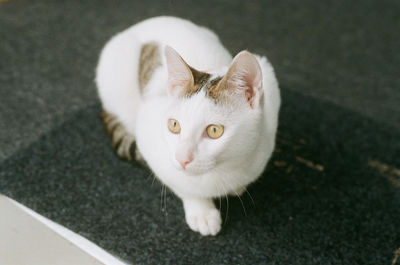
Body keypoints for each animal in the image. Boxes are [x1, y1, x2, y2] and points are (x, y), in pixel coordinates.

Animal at [95, 16, 280, 235]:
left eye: (214, 130)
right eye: (174, 125)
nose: (182, 158)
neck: (226, 167)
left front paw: (236, 187)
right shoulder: (149, 131)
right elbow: (182, 185)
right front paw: (202, 211)